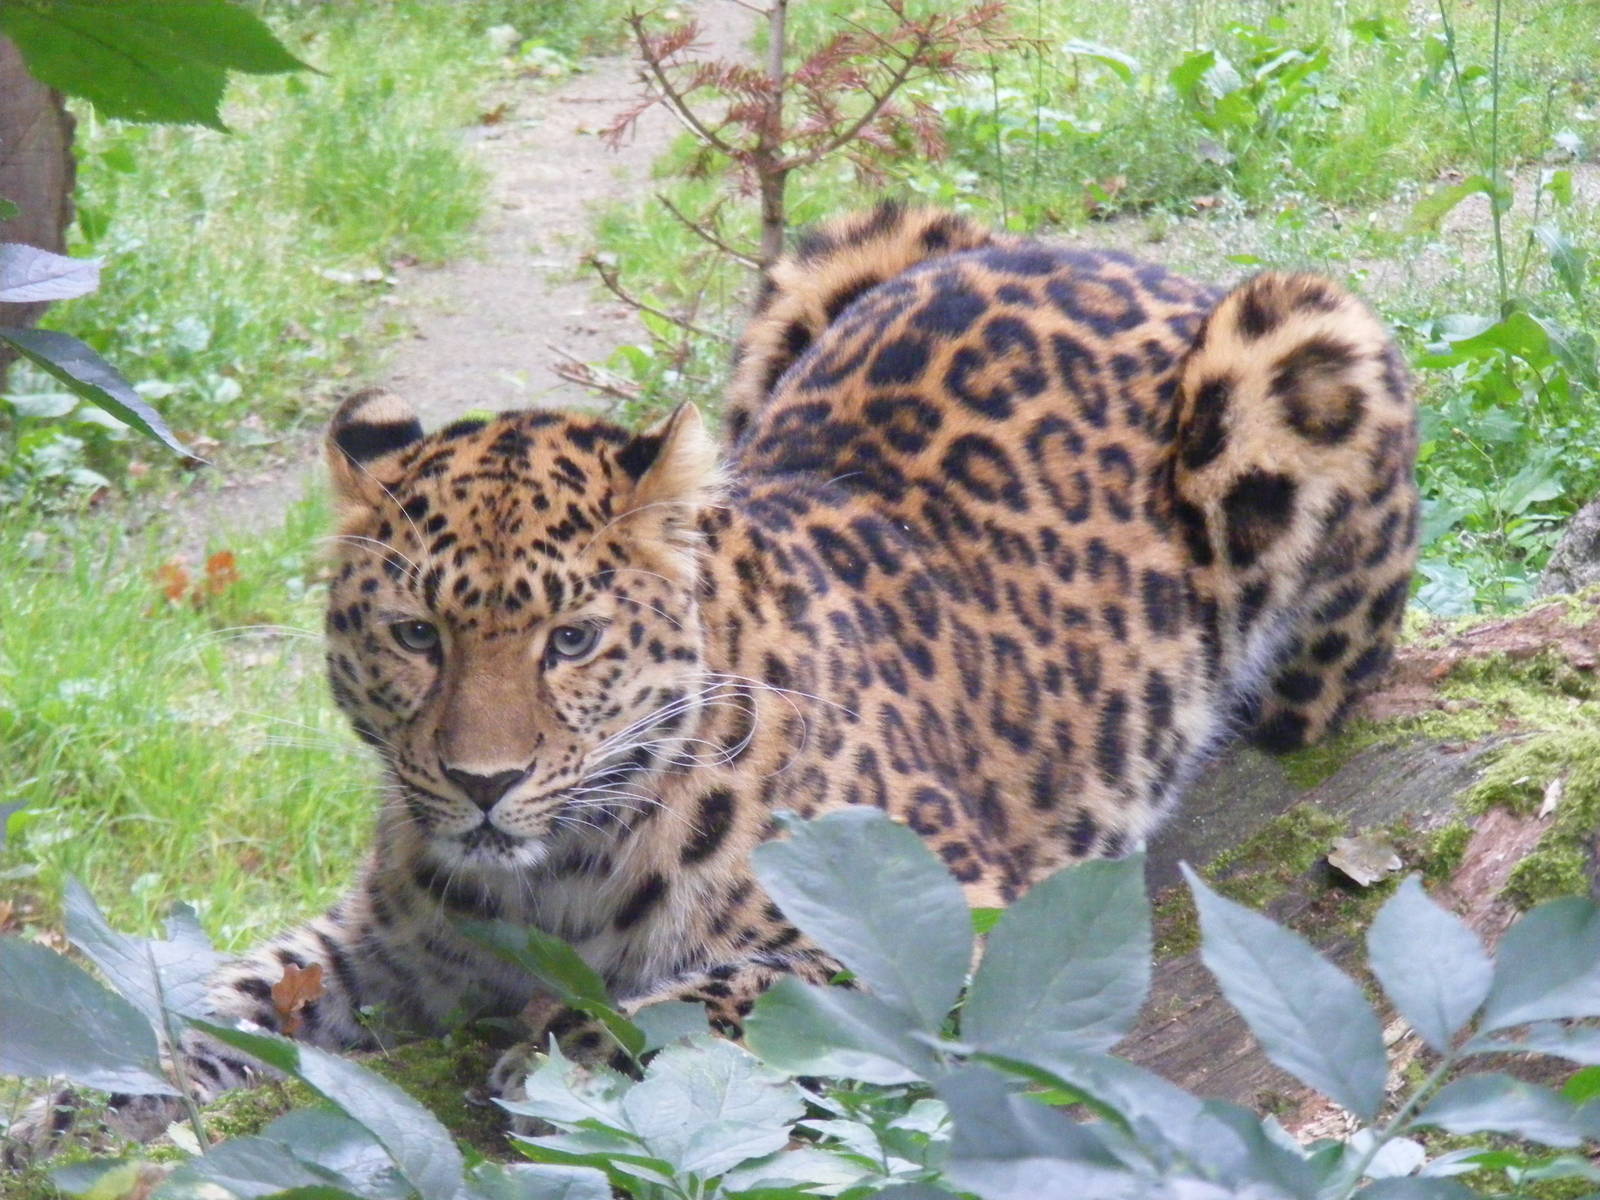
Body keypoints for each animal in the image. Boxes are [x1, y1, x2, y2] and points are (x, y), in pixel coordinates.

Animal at [6, 202, 1417, 1159]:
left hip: (1303, 344)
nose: (479, 782)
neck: (554, 882)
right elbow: (221, 993)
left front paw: (555, 1057)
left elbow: (724, 998)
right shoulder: (381, 944)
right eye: (416, 635)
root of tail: (1118, 257)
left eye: (571, 640)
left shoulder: (947, 920)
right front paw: (75, 1092)